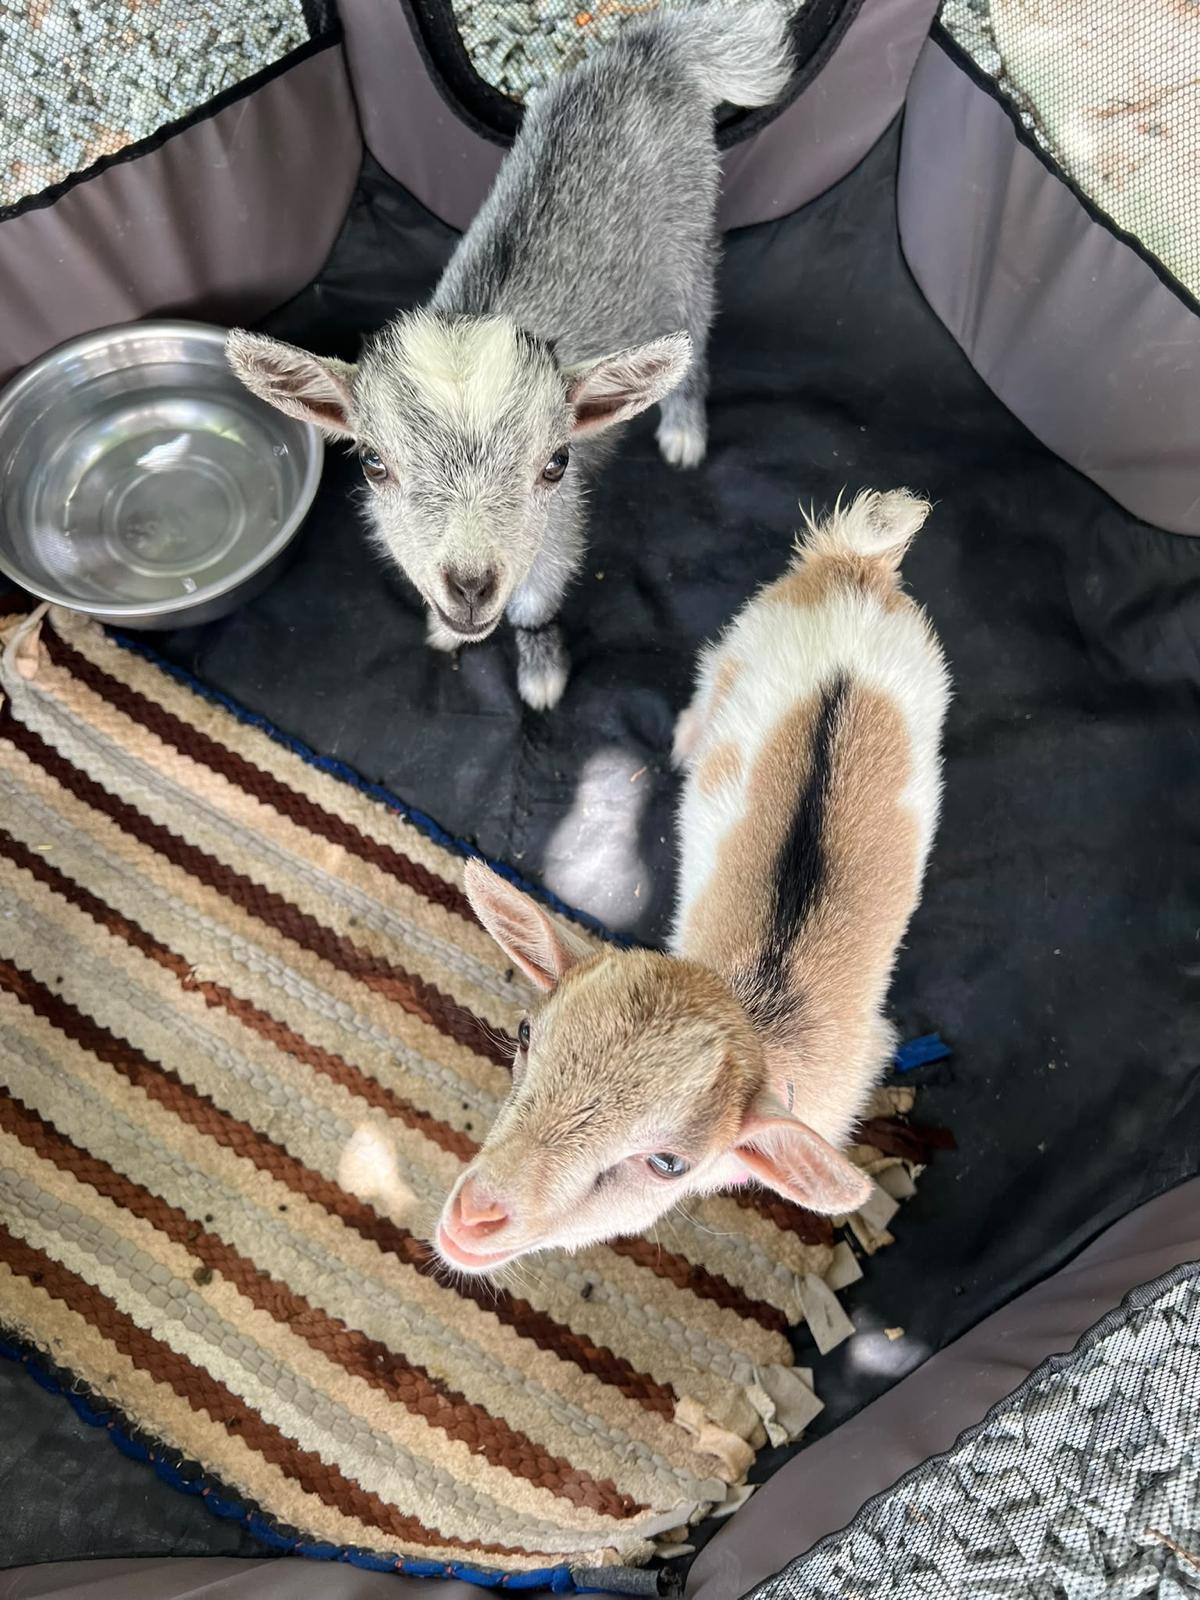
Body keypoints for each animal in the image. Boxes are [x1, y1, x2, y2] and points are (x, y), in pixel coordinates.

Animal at [226, 5, 792, 710]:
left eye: (556, 463)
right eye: (374, 464)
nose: (469, 587)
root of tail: (652, 47)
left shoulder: (557, 531)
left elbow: (534, 605)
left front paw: (542, 672)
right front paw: (448, 629)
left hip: (688, 234)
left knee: (694, 330)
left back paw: (685, 430)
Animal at [436, 489, 951, 1273]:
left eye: (668, 1164)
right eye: (526, 1034)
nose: (471, 1219)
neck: (763, 1017)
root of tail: (857, 566)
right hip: (744, 637)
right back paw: (684, 743)